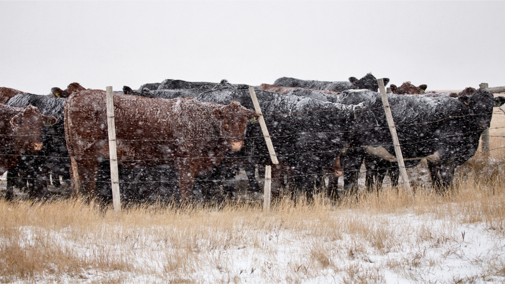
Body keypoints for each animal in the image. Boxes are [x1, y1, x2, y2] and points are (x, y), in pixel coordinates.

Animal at [64, 90, 258, 201]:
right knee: (87, 182)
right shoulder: (186, 162)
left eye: (244, 122)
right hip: (86, 155)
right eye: (225, 122)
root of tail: (76, 95)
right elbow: (186, 187)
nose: (236, 144)